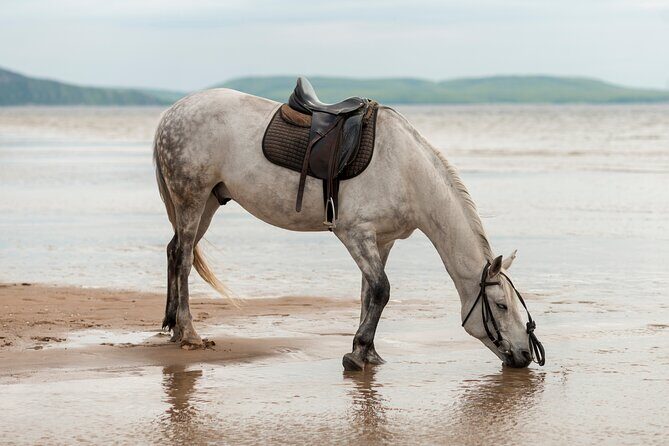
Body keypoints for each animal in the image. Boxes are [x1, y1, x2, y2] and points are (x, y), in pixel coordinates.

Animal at [153, 88, 544, 371]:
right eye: (501, 305)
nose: (526, 356)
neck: (406, 171)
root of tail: (172, 113)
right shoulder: (355, 234)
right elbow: (382, 289)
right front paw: (357, 355)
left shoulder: (383, 241)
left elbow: (369, 293)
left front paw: (367, 352)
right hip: (191, 198)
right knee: (184, 258)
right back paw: (188, 333)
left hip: (208, 202)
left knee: (174, 251)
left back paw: (171, 327)